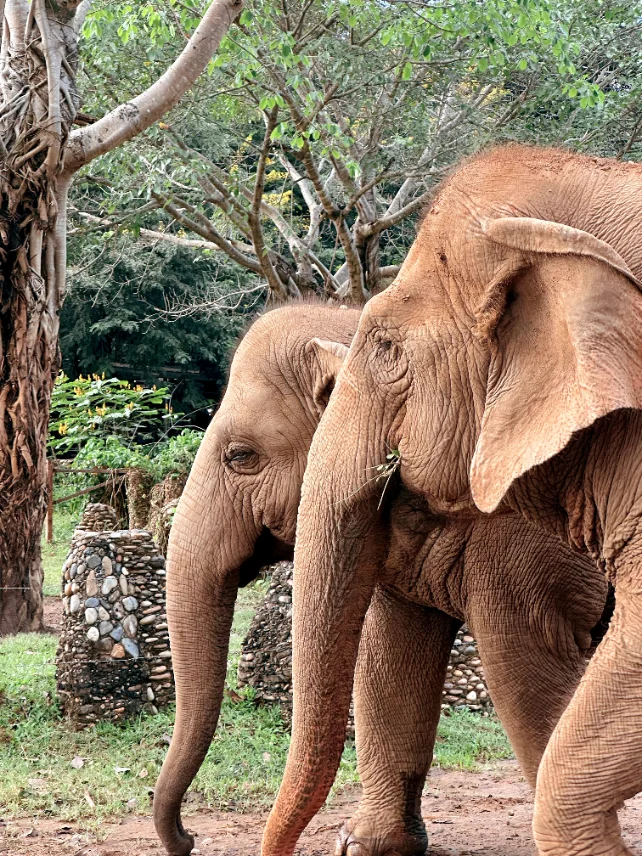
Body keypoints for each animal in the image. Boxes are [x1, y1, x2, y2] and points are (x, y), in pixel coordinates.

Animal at [153, 301, 608, 856]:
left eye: (240, 456)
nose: (188, 838)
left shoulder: (524, 538)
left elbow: (525, 672)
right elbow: (390, 655)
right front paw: (365, 846)